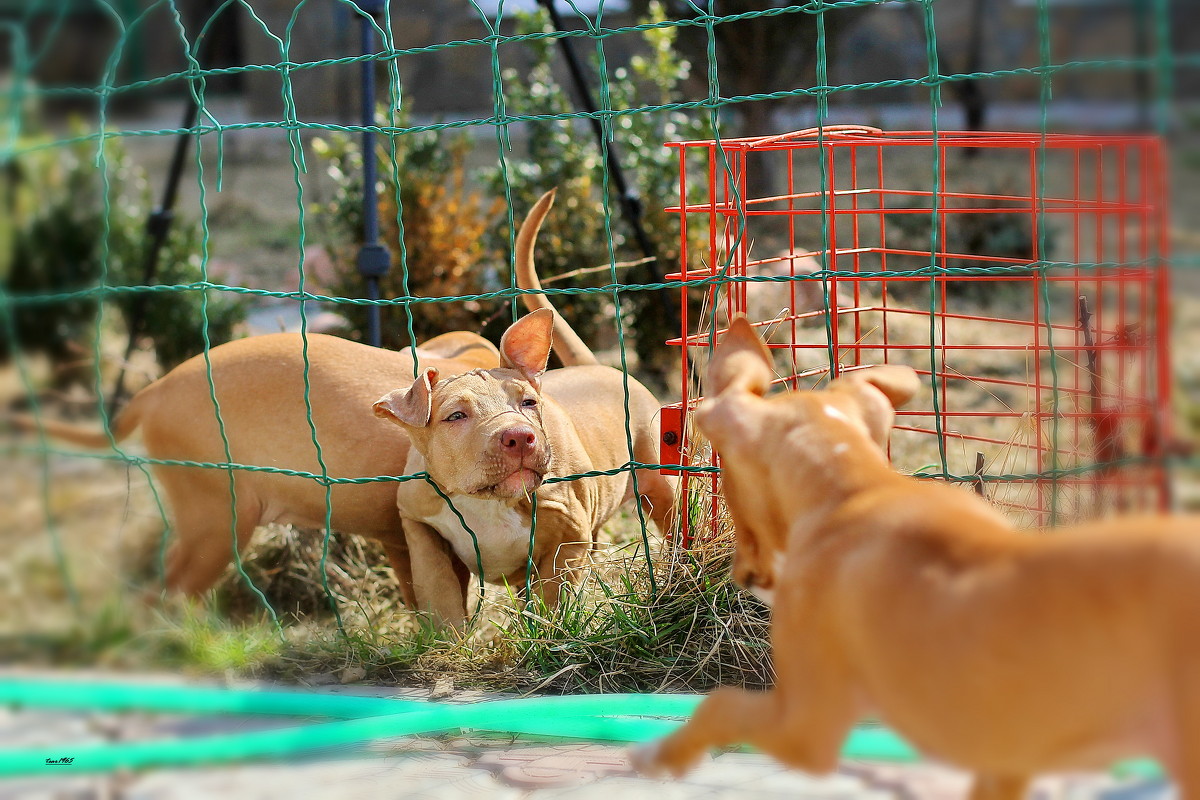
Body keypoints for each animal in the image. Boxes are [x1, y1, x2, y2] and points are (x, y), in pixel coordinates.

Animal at [374, 190, 676, 628]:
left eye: (529, 403)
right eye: (455, 416)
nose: (520, 436)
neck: (488, 500)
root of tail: (597, 365)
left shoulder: (568, 535)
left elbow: (555, 596)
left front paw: (552, 632)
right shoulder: (420, 528)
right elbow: (441, 595)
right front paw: (449, 638)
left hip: (661, 476)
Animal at [633, 316, 1195, 796]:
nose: (746, 574)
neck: (855, 485)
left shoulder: (805, 728)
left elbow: (720, 703)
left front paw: (660, 756)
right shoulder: (1005, 763)